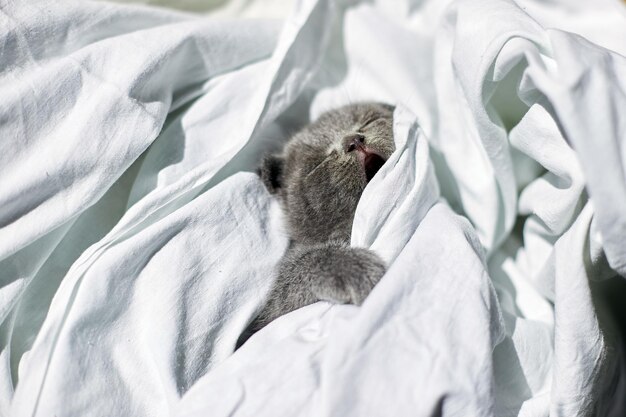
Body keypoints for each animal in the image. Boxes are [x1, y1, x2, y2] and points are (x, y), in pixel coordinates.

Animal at [236, 102, 392, 346]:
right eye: (317, 165)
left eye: (369, 120)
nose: (354, 141)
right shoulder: (264, 321)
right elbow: (297, 270)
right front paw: (351, 267)